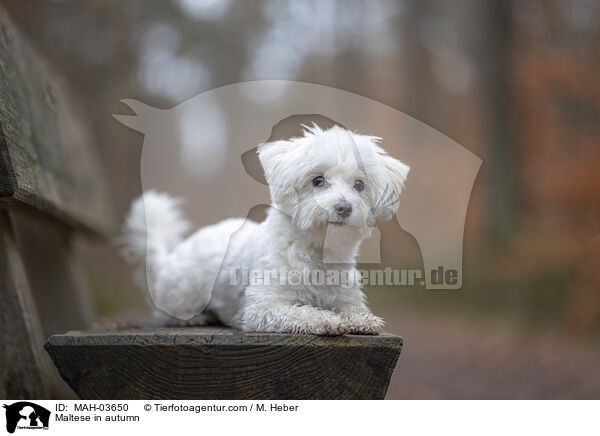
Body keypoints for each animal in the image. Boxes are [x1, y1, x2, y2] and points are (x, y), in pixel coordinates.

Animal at [124, 124, 410, 336]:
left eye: (359, 185)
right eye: (318, 180)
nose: (343, 207)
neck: (316, 254)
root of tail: (168, 258)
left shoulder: (346, 297)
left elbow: (355, 310)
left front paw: (362, 320)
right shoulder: (262, 307)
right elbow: (300, 312)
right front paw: (325, 320)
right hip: (181, 295)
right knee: (166, 314)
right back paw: (194, 318)